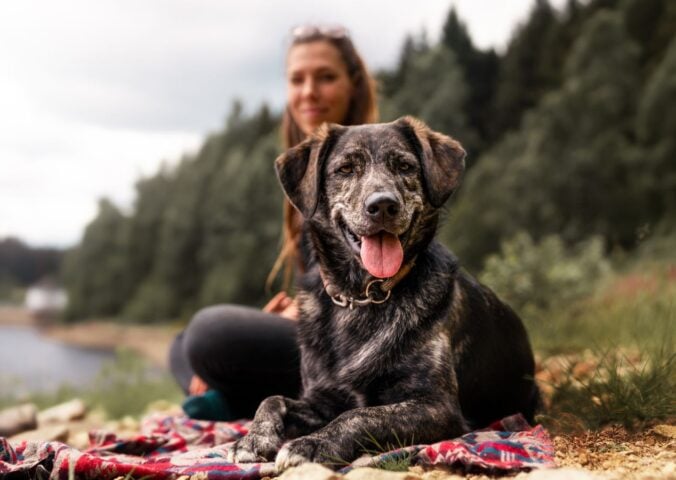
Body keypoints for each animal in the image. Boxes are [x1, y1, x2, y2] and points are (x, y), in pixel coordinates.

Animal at [228, 117, 540, 472]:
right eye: (345, 168)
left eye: (404, 166)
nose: (383, 205)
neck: (361, 297)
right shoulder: (321, 399)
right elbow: (271, 399)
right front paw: (253, 439)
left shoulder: (438, 407)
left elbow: (360, 415)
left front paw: (312, 444)